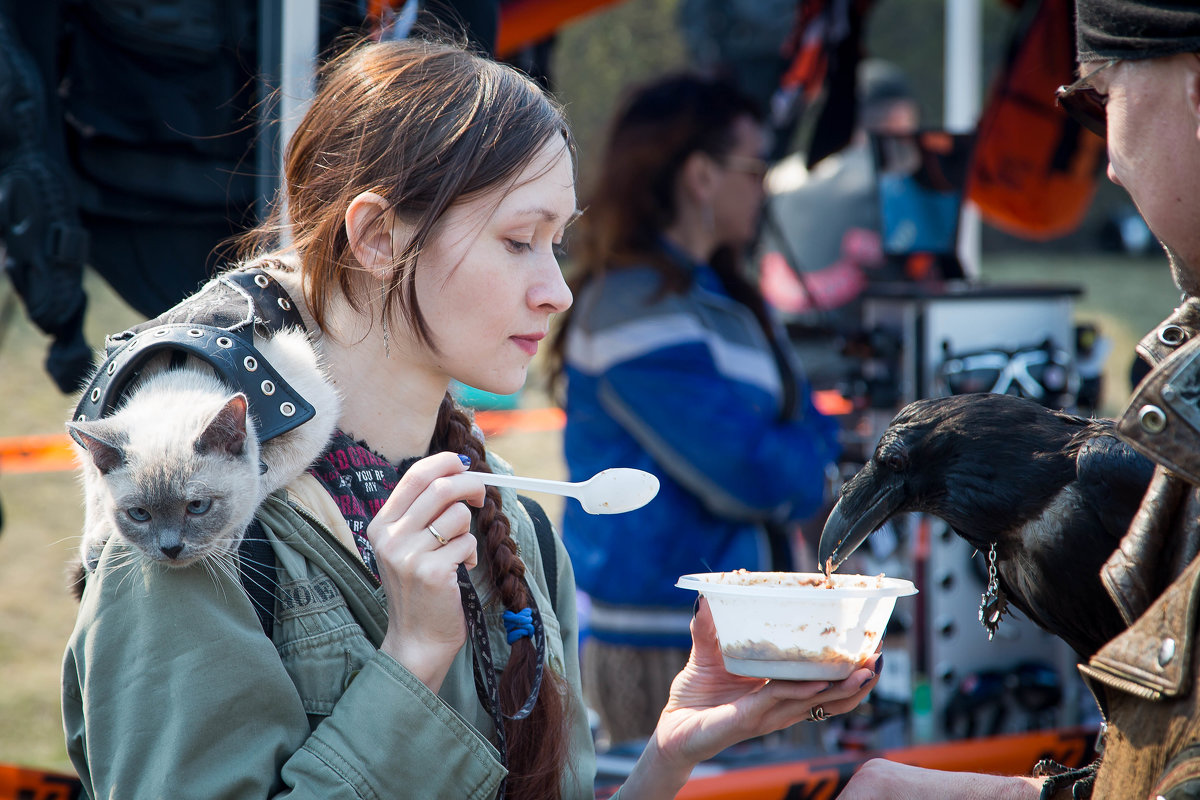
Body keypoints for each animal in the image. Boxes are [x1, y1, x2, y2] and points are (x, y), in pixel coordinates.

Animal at [68, 326, 340, 587]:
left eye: (197, 506)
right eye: (139, 514)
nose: (171, 549)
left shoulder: (314, 425)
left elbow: (260, 478)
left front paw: (226, 536)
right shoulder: (87, 445)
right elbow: (96, 491)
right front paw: (96, 545)